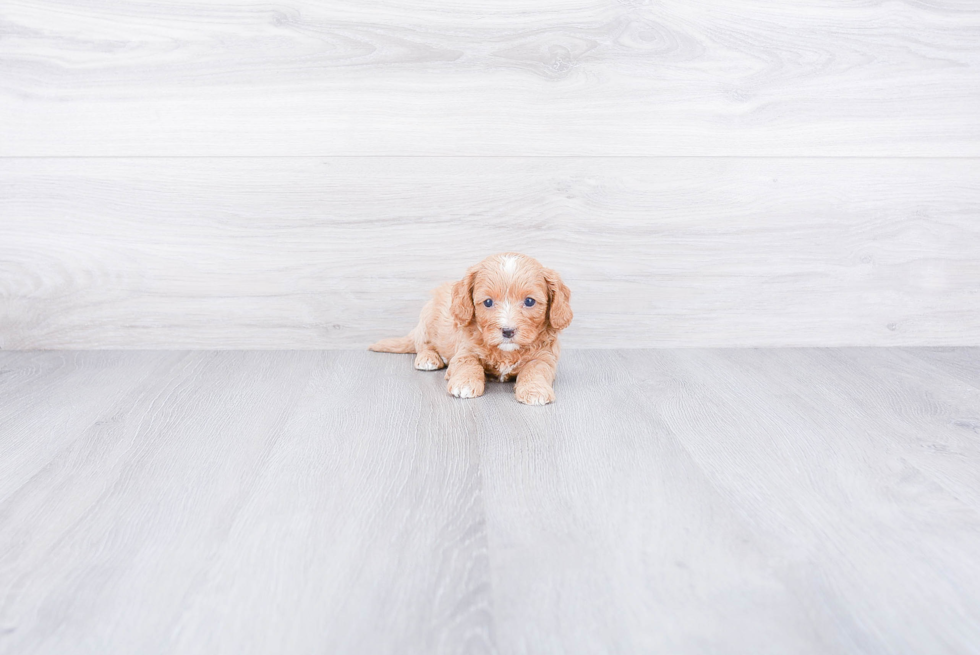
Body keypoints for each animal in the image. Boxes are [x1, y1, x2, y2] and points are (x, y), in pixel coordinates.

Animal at [374, 252, 576, 402]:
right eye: (487, 302)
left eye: (529, 301)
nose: (508, 331)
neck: (506, 352)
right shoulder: (465, 351)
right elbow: (469, 364)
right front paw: (465, 383)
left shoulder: (544, 357)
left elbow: (536, 370)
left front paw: (535, 390)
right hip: (426, 319)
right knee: (422, 344)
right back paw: (428, 358)